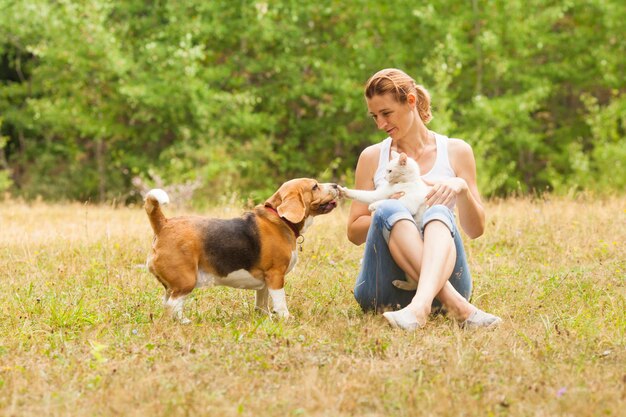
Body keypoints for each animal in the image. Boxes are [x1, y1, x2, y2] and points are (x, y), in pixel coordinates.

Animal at [144, 177, 338, 324]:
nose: (336, 185)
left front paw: (265, 318)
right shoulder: (276, 276)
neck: (280, 219)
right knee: (172, 305)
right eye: (315, 186)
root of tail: (163, 224)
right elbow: (280, 303)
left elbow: (262, 303)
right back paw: (184, 322)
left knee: (168, 303)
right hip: (186, 281)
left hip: (173, 285)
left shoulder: (266, 281)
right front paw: (286, 319)